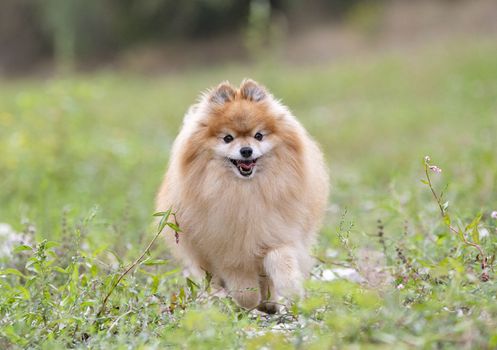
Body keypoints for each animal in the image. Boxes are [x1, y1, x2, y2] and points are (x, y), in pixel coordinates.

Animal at [154, 80, 326, 314]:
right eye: (228, 138)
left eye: (259, 136)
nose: (246, 150)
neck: (245, 193)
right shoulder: (229, 249)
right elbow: (243, 286)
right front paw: (247, 302)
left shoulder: (277, 232)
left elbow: (281, 260)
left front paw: (289, 291)